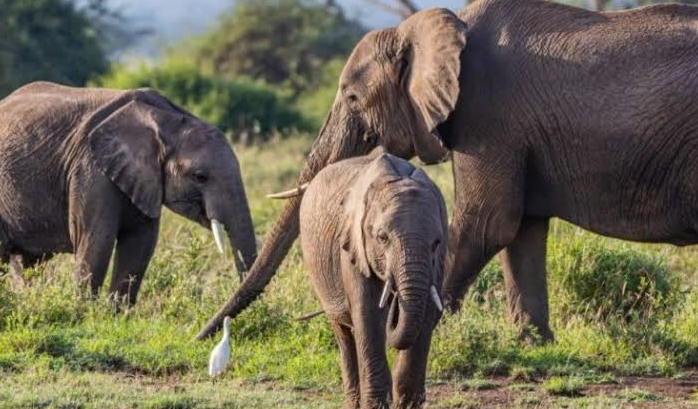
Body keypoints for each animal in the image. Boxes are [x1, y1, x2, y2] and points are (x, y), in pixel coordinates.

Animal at [0, 82, 257, 302]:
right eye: (200, 177)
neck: (168, 119)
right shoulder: (90, 169)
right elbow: (96, 242)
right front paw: (83, 313)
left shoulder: (144, 180)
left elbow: (139, 245)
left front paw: (116, 315)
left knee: (27, 261)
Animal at [196, 0, 698, 343]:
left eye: (353, 98)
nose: (201, 336)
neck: (433, 27)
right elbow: (521, 230)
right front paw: (532, 344)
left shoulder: (489, 113)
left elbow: (487, 224)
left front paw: (421, 330)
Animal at [299, 149, 447, 409]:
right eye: (382, 238)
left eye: (436, 242)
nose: (395, 304)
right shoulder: (352, 247)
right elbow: (368, 314)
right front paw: (376, 404)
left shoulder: (438, 260)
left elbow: (428, 312)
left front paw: (407, 403)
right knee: (344, 334)